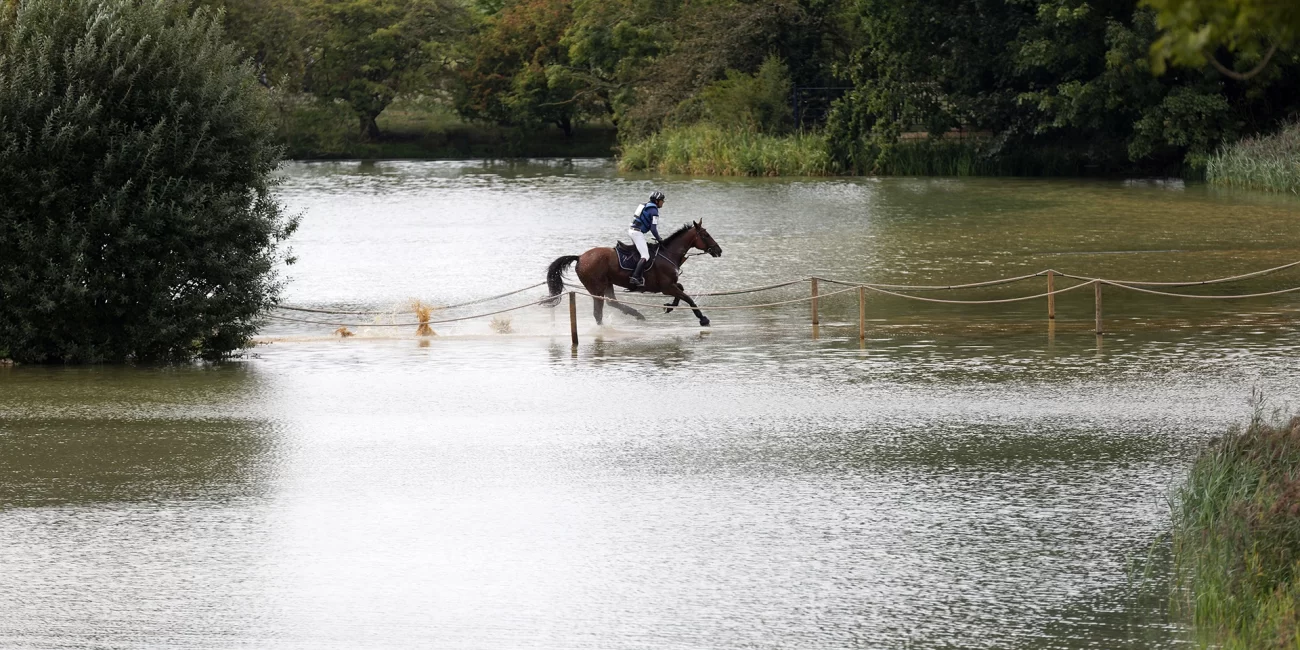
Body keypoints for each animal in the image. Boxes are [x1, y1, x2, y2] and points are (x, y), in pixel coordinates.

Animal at [540, 222, 722, 325]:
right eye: (706, 235)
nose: (718, 250)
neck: (668, 253)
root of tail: (580, 257)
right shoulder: (666, 287)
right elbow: (688, 298)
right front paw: (703, 319)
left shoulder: (669, 285)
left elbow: (682, 289)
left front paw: (669, 306)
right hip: (597, 287)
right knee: (599, 311)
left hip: (607, 283)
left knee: (612, 302)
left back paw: (637, 314)